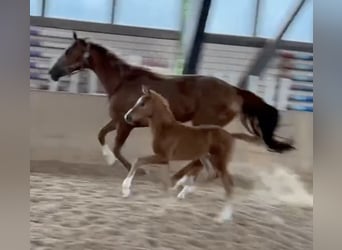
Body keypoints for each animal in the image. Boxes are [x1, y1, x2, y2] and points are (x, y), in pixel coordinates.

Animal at [123, 86, 238, 223]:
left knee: (228, 185)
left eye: (142, 104)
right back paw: (185, 189)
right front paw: (164, 207)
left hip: (219, 161)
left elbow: (138, 160)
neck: (166, 129)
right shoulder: (164, 160)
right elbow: (165, 183)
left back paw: (222, 217)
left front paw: (126, 189)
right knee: (210, 175)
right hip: (205, 158)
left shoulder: (163, 157)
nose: (127, 117)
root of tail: (231, 136)